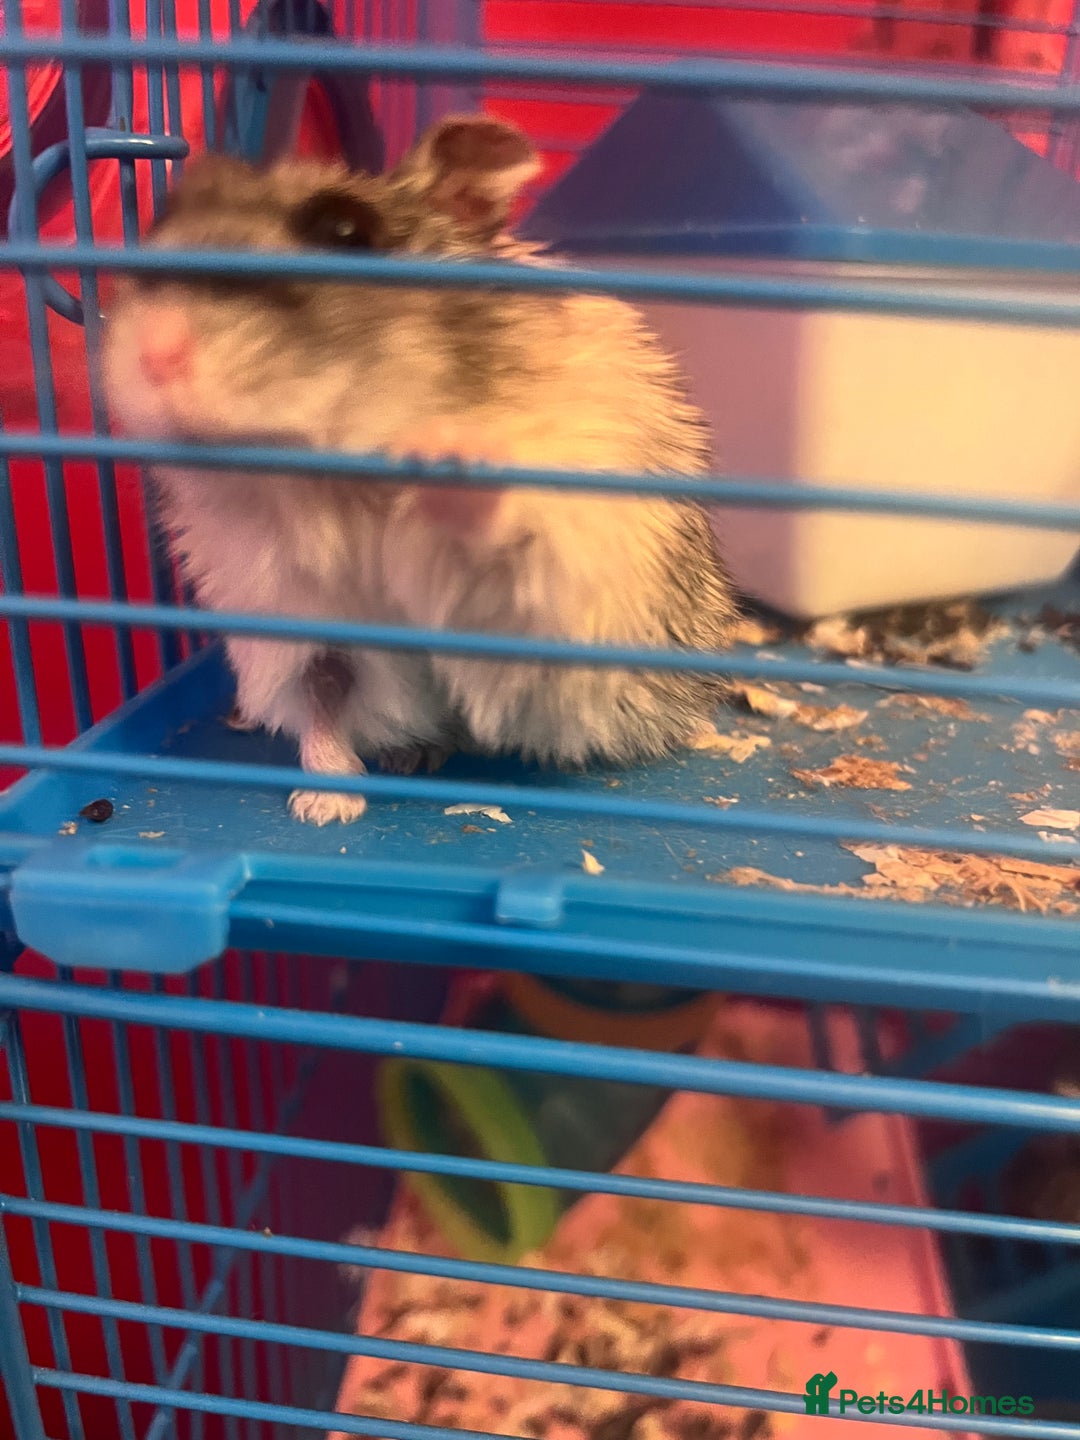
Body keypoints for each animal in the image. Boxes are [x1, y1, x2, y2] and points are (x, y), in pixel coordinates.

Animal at [103, 115, 739, 825]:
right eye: (160, 223)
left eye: (345, 231)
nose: (153, 353)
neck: (325, 486)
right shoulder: (297, 626)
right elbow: (323, 700)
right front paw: (325, 807)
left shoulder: (535, 593)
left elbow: (497, 537)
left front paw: (442, 452)